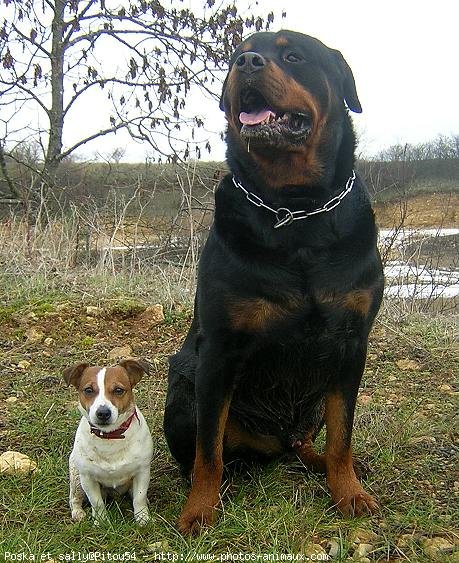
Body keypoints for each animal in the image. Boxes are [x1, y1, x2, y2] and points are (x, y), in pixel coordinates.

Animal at [63, 360, 154, 528]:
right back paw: (78, 513)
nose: (103, 413)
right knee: (74, 499)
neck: (110, 437)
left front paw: (142, 518)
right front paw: (101, 521)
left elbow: (139, 498)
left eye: (118, 390)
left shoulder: (142, 472)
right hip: (76, 478)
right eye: (88, 390)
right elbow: (97, 502)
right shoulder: (88, 478)